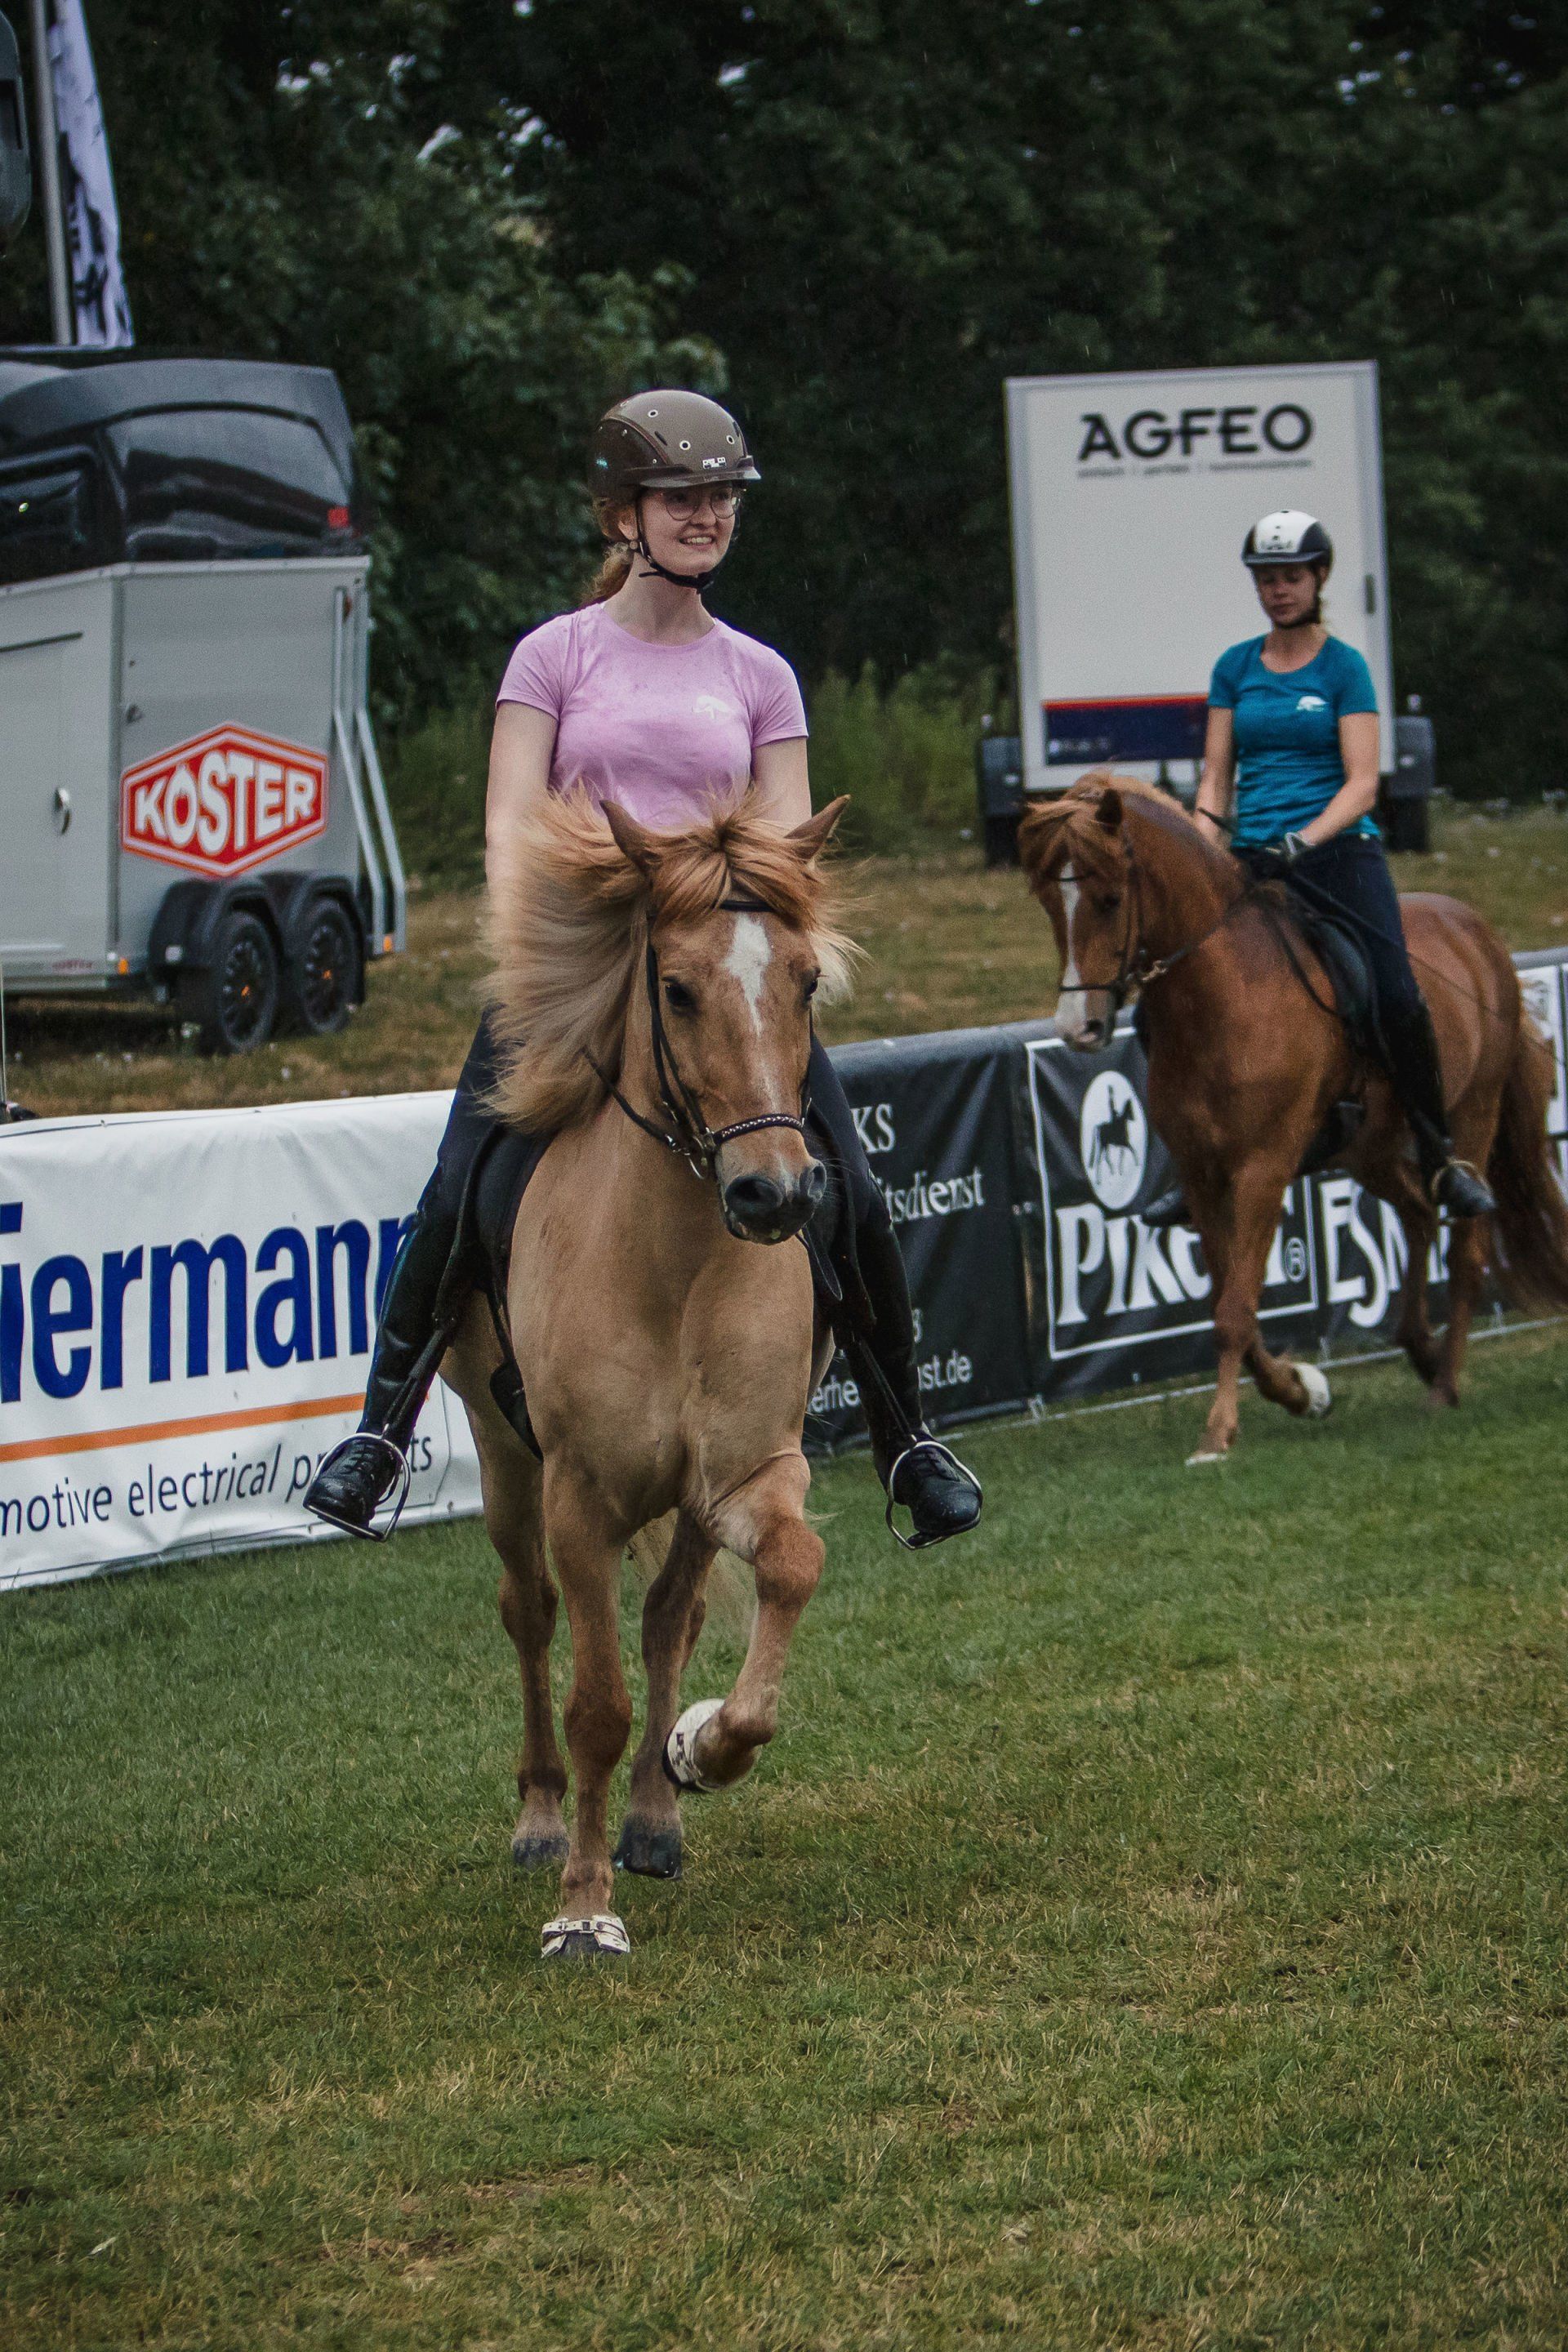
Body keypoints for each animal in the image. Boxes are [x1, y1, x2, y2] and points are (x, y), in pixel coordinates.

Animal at [439, 788, 852, 1961]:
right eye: (674, 988)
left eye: (807, 981)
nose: (774, 1196)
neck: (674, 1267)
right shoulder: (580, 1498)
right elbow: (597, 1707)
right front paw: (582, 1906)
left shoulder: (745, 1476)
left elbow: (790, 1569)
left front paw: (704, 1748)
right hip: (504, 1458)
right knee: (528, 1610)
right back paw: (541, 1819)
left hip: (691, 1505)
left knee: (676, 1617)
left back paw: (658, 1823)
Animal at [1020, 775, 1568, 1463]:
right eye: (1048, 901)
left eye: (1110, 897)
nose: (1079, 1029)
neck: (1224, 993)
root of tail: (1476, 929)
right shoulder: (1202, 1175)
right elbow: (1229, 1300)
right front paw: (1303, 1390)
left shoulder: (1263, 1167)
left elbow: (1233, 1310)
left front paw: (1217, 1436)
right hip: (1367, 1147)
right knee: (1417, 1214)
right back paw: (1419, 1348)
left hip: (1473, 1113)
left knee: (1465, 1249)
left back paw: (1443, 1384)